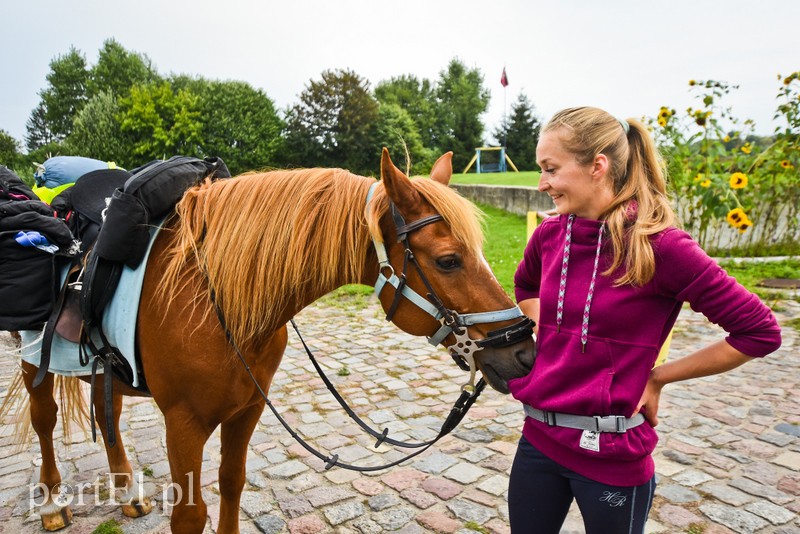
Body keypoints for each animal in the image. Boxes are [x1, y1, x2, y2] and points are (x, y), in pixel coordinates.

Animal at [18, 151, 536, 534]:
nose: (523, 350)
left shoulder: (247, 409)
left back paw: (127, 493)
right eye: (448, 260)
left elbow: (232, 485)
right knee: (45, 420)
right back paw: (51, 504)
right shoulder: (183, 424)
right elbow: (191, 514)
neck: (214, 297)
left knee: (107, 413)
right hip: (30, 361)